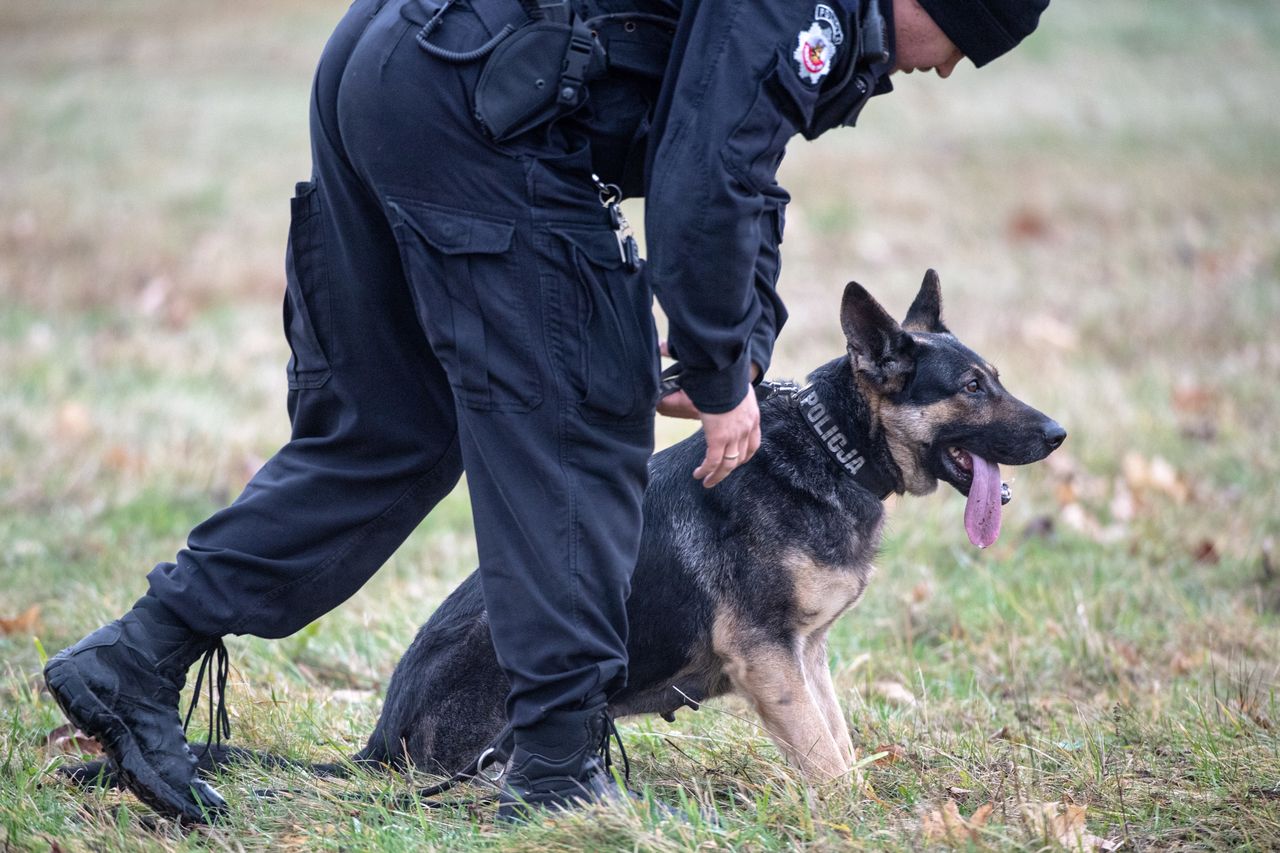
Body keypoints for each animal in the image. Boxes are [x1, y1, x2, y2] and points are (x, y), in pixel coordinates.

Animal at [70, 270, 1070, 788]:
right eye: (972, 387)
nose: (1060, 434)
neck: (831, 445)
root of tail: (379, 743)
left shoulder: (806, 656)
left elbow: (840, 740)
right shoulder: (767, 655)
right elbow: (827, 758)